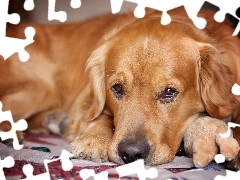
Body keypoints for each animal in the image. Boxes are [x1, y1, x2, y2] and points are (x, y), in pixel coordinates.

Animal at [0, 7, 240, 170]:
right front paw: (93, 140)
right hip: (39, 89)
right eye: (117, 88)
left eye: (169, 92)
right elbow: (100, 116)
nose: (131, 153)